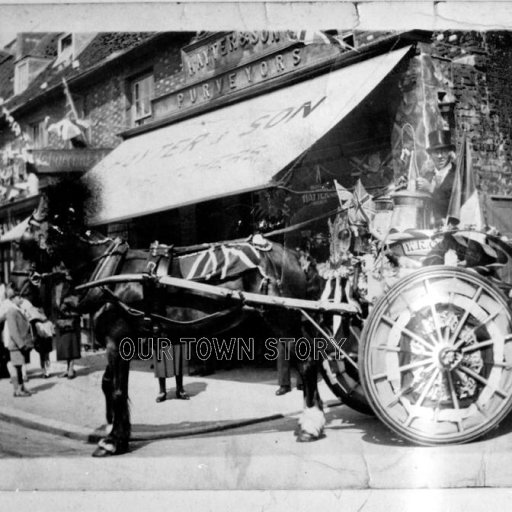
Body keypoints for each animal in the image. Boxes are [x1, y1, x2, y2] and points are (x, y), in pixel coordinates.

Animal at [18, 198, 330, 458]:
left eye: (26, 232)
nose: (21, 287)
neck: (111, 271)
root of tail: (293, 254)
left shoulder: (117, 339)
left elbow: (116, 389)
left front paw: (112, 441)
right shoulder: (117, 342)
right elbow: (109, 385)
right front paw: (115, 432)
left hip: (283, 320)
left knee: (306, 365)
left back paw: (310, 425)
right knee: (313, 360)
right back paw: (315, 416)